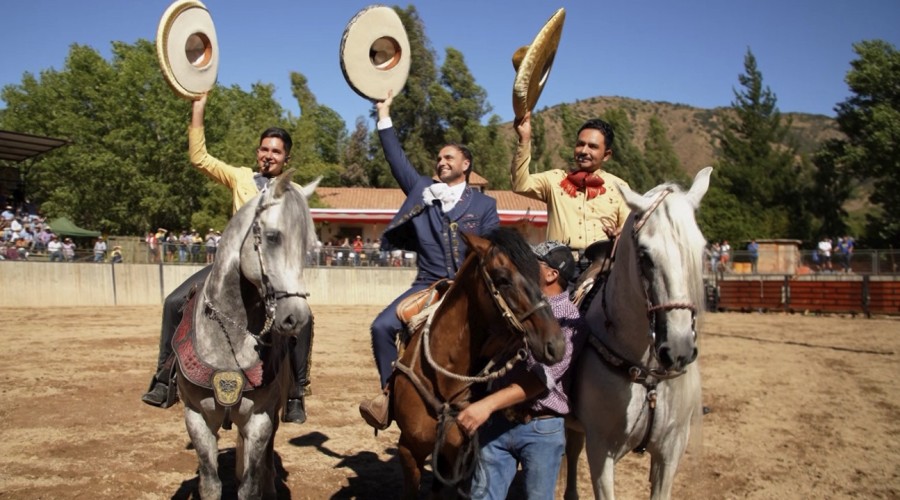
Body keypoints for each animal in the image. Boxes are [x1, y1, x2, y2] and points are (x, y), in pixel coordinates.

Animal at [174, 170, 318, 498]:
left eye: (307, 245)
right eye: (273, 236)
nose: (296, 317)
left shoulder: (259, 419)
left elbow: (250, 484)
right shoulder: (196, 417)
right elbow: (210, 483)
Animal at [392, 229, 564, 498]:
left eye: (538, 277)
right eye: (503, 279)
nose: (556, 345)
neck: (444, 382)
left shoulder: (461, 460)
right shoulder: (409, 450)